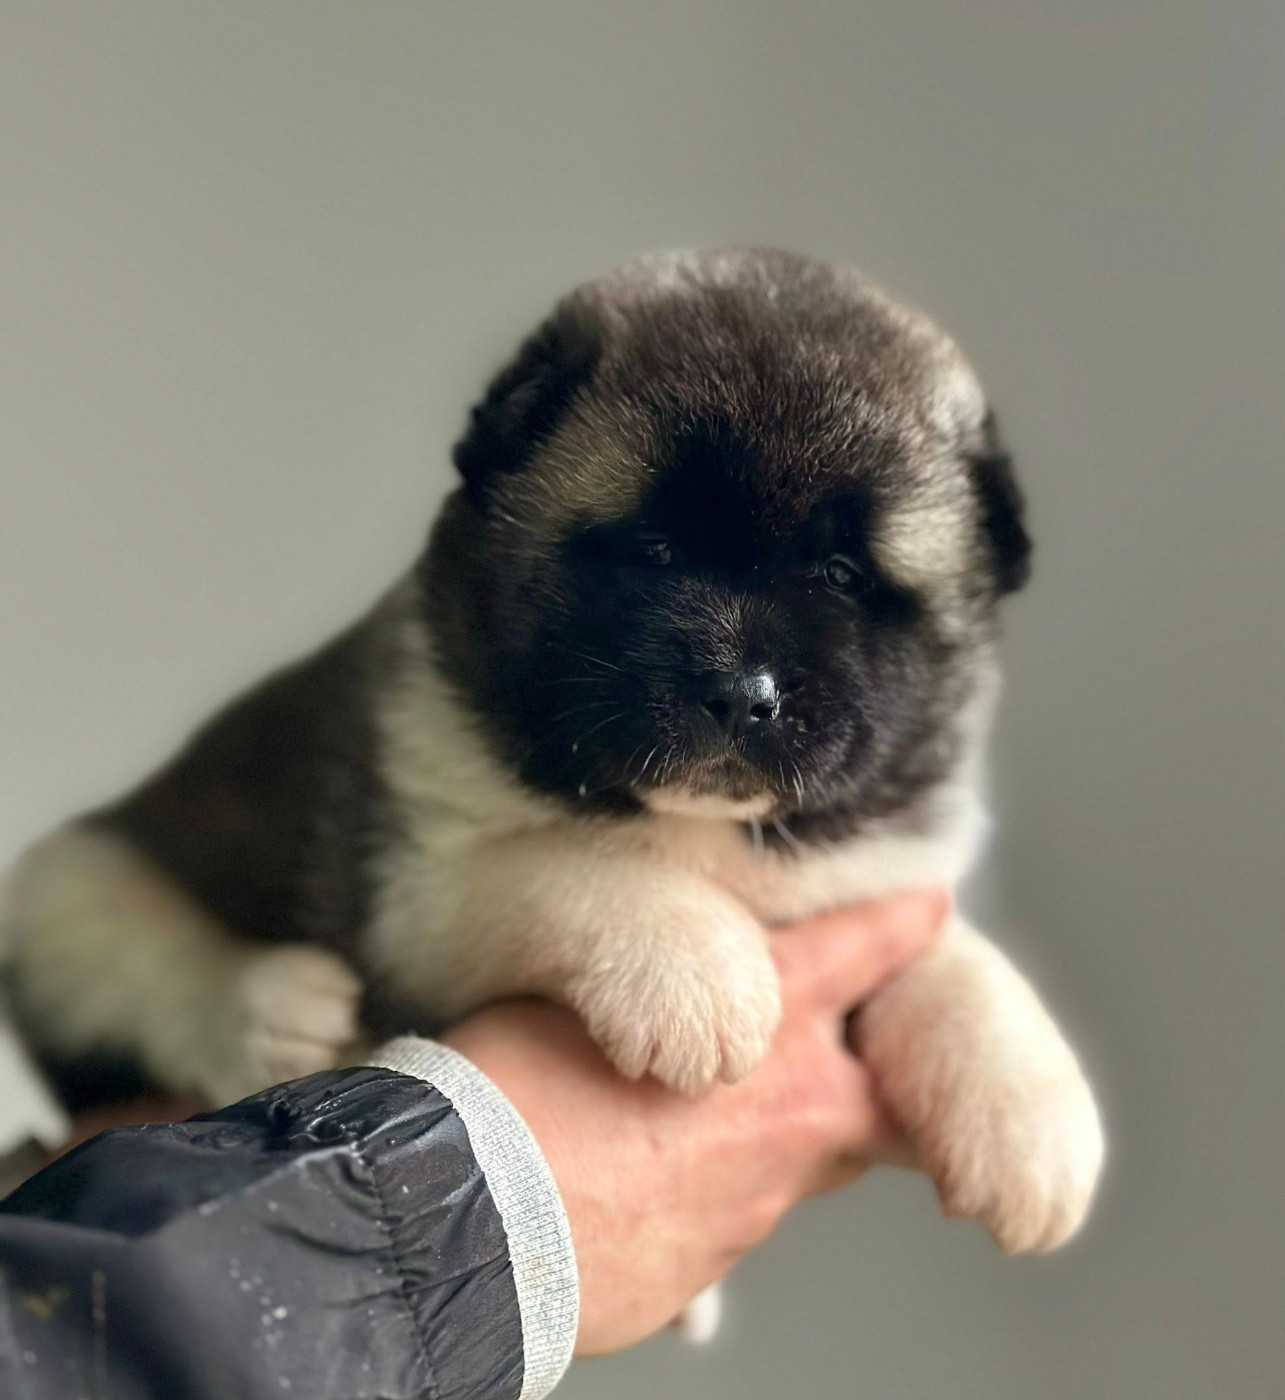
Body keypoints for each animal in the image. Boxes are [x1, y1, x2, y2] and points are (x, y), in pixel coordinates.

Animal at [3, 248, 1103, 1260]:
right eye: (655, 551)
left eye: (839, 573)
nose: (740, 694)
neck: (707, 830)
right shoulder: (420, 898)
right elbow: (574, 866)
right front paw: (696, 973)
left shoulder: (880, 876)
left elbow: (957, 957)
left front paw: (1030, 1113)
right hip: (70, 891)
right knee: (139, 956)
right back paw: (272, 1009)